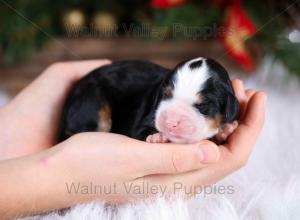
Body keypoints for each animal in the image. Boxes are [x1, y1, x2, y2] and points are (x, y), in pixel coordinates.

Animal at [58, 57, 240, 144]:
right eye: (166, 95)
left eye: (203, 105)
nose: (171, 122)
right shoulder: (144, 118)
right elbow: (140, 131)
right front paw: (156, 137)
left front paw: (226, 131)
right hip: (90, 104)